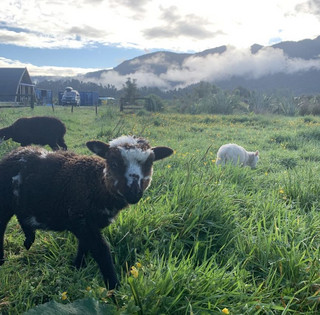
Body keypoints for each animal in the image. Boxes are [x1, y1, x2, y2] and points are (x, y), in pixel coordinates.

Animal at [0, 136, 172, 292]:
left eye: (149, 164)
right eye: (114, 163)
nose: (134, 193)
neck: (96, 183)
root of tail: (14, 152)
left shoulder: (87, 224)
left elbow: (84, 246)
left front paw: (77, 267)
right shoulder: (80, 220)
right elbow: (102, 250)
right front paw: (114, 289)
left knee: (22, 218)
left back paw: (28, 241)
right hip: (5, 202)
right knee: (2, 226)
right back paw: (2, 258)